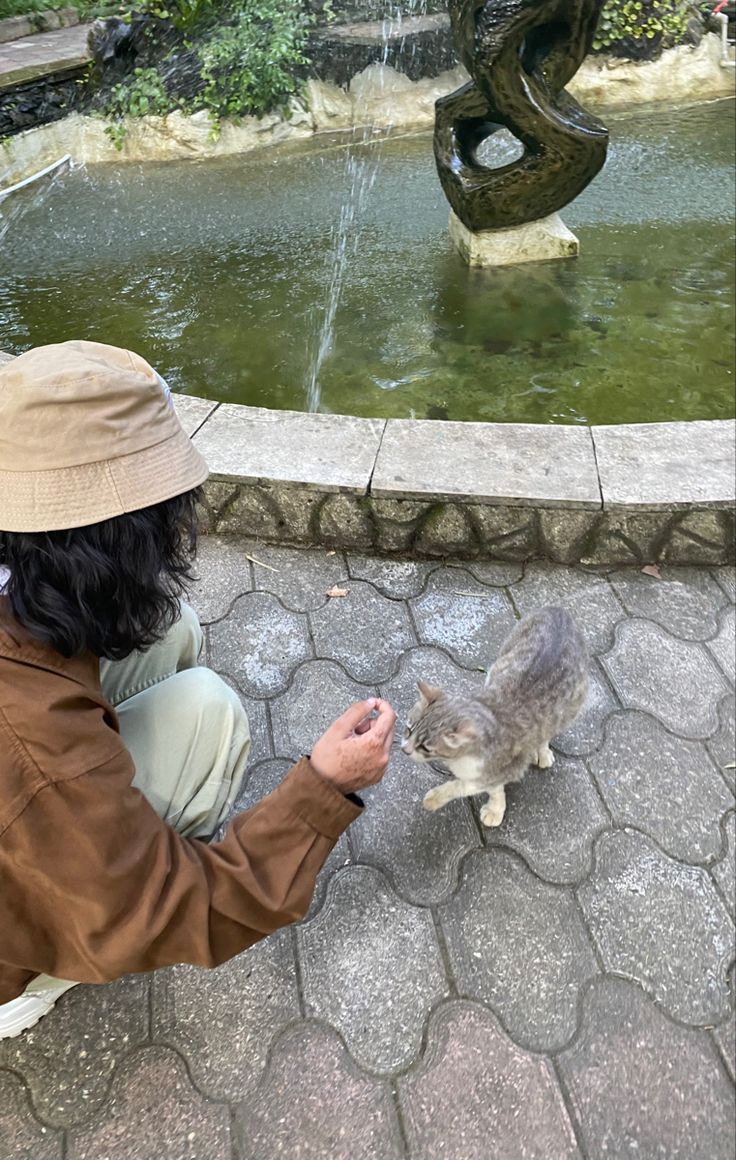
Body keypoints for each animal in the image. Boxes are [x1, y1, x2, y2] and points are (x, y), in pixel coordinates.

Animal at [399, 603, 587, 830]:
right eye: (408, 729)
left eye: (425, 747)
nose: (404, 749)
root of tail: (560, 611)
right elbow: (493, 788)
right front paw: (496, 805)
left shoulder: (507, 768)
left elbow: (467, 785)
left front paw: (436, 798)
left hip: (570, 707)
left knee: (548, 731)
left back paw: (542, 751)